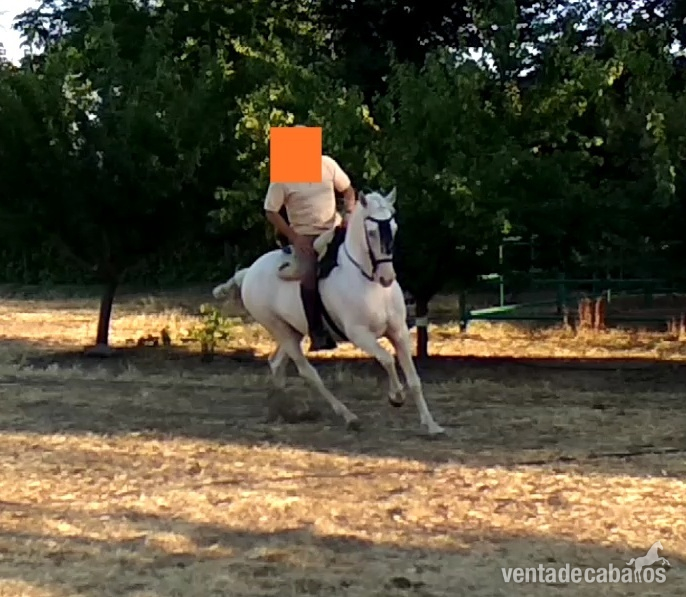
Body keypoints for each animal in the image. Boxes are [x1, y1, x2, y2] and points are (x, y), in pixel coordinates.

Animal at [212, 187, 445, 435]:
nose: (387, 278)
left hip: (293, 331)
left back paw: (282, 411)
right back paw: (348, 417)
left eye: (393, 227)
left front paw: (431, 425)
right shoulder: (360, 334)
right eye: (372, 232)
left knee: (276, 363)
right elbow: (387, 360)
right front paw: (396, 396)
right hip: (279, 329)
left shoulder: (398, 332)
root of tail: (249, 272)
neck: (367, 280)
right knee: (308, 373)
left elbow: (414, 379)